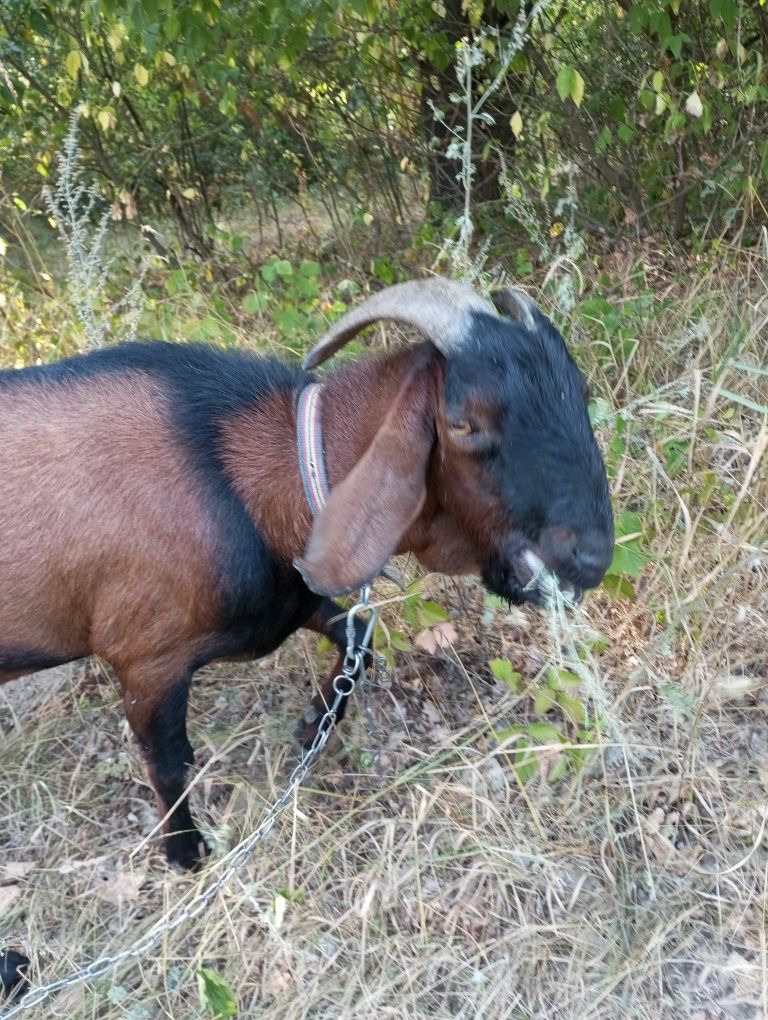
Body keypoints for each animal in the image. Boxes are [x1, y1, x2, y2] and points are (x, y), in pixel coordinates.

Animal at [0, 277, 611, 869]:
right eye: (462, 422)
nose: (592, 557)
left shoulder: (294, 596)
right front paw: (185, 852)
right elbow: (168, 762)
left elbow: (360, 635)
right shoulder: (146, 659)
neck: (251, 476)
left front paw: (314, 724)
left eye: (581, 393)